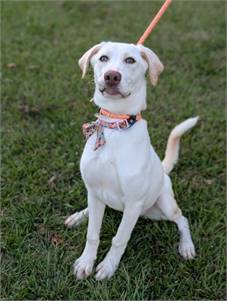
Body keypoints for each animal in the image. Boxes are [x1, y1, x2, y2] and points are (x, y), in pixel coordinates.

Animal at [64, 41, 198, 280]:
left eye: (130, 60)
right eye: (103, 58)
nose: (111, 76)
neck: (115, 126)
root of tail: (162, 169)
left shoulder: (134, 204)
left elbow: (119, 239)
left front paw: (108, 267)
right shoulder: (95, 190)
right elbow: (92, 234)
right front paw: (85, 262)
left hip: (163, 207)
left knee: (182, 219)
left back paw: (186, 246)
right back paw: (79, 215)